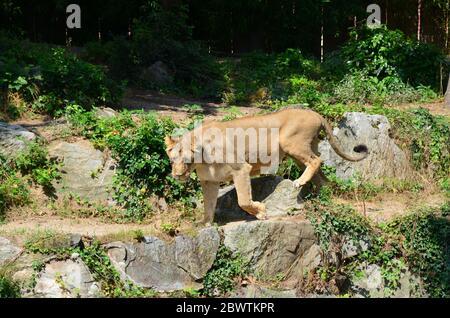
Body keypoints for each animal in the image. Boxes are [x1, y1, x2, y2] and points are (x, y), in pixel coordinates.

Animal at [163, 108, 368, 225]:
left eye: (186, 160)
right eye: (172, 160)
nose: (177, 175)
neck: (201, 159)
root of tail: (315, 113)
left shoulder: (240, 169)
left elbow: (243, 200)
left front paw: (261, 212)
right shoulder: (209, 181)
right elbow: (209, 204)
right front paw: (204, 224)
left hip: (291, 143)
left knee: (316, 161)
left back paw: (299, 182)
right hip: (302, 150)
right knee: (321, 173)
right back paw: (319, 195)